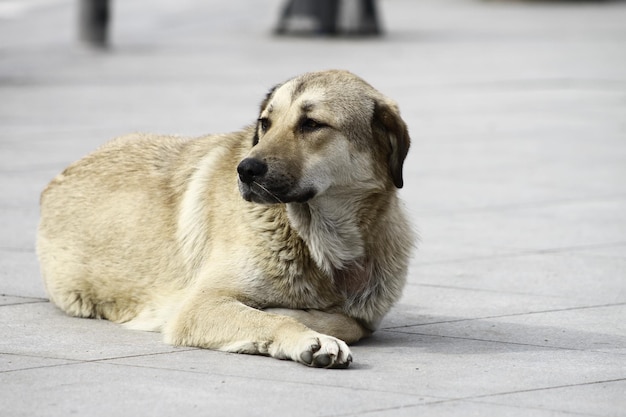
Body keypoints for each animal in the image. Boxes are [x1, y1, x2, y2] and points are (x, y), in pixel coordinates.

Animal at [36, 70, 412, 368]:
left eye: (311, 124)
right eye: (265, 123)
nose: (246, 170)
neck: (318, 239)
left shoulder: (364, 313)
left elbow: (352, 322)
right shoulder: (200, 305)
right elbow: (279, 321)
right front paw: (306, 332)